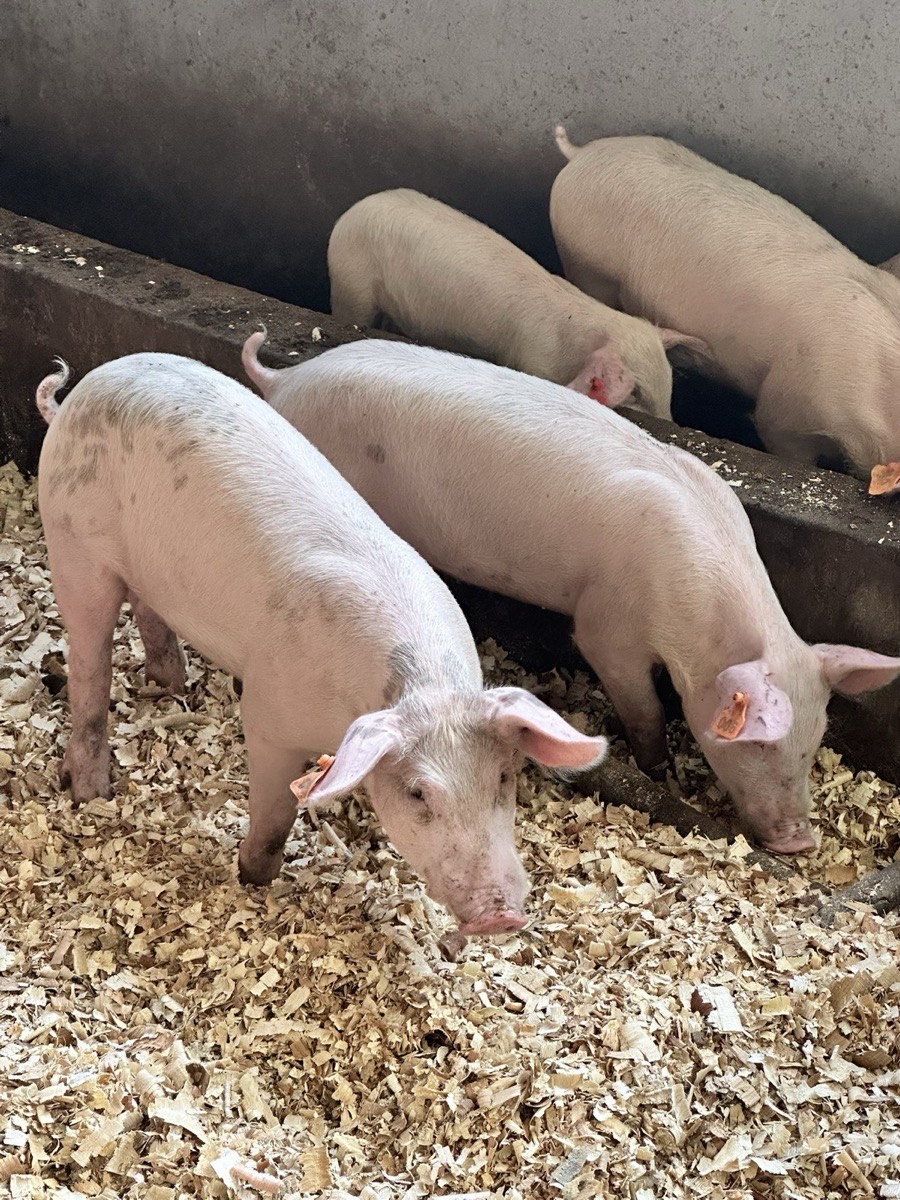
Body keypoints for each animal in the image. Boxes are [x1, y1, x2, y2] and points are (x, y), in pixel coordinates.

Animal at [35, 352, 607, 934]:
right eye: (417, 792)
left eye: (504, 778)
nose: (502, 916)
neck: (421, 687)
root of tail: (81, 393)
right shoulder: (267, 713)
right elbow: (274, 810)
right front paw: (253, 877)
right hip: (72, 539)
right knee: (89, 660)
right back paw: (91, 789)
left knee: (148, 610)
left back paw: (172, 683)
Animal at [242, 332, 900, 855]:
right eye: (760, 743)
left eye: (814, 742)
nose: (800, 841)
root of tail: (286, 379)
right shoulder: (608, 625)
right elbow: (642, 708)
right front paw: (658, 773)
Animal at [328, 188, 704, 419]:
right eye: (635, 393)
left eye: (669, 382)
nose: (670, 421)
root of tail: (351, 212)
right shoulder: (533, 360)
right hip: (351, 285)